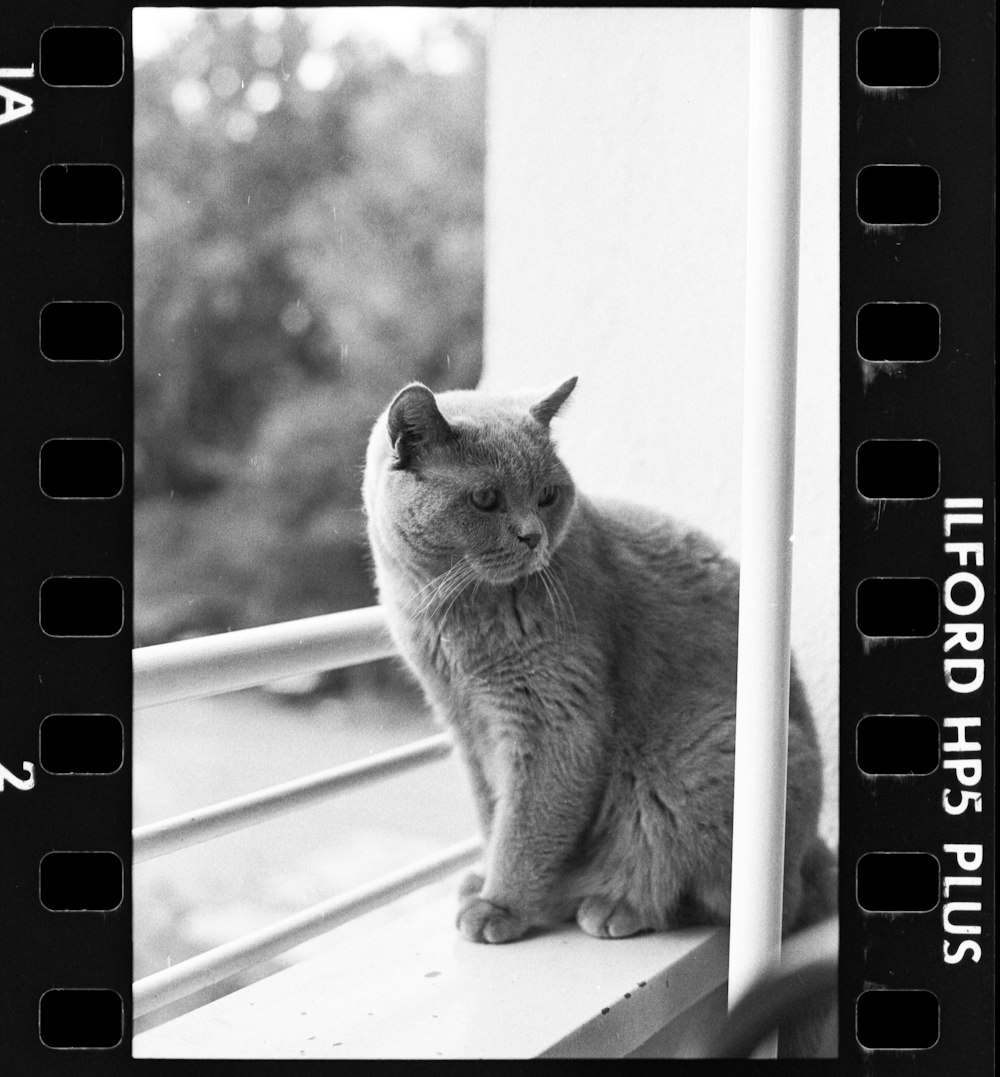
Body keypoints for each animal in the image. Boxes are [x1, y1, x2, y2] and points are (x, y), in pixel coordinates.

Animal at [363, 379, 831, 960]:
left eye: (547, 495)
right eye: (486, 499)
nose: (532, 536)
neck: (448, 615)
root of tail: (817, 854)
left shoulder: (554, 721)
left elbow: (527, 824)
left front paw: (501, 905)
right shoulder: (466, 727)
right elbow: (493, 813)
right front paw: (488, 878)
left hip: (704, 762)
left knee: (741, 899)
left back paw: (615, 904)